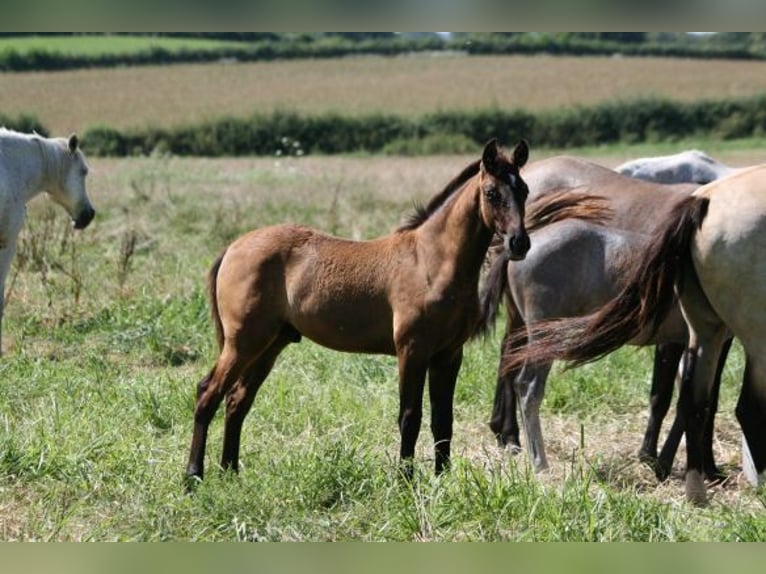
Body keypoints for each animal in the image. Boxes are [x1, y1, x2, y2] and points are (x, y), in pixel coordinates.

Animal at [186, 140, 536, 486]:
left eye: (524, 190)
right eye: (491, 193)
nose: (519, 243)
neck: (430, 261)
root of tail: (232, 248)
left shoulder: (448, 355)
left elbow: (443, 420)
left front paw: (442, 480)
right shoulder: (412, 350)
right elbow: (410, 416)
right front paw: (405, 482)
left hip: (269, 345)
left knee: (237, 400)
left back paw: (230, 472)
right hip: (243, 342)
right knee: (208, 393)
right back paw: (193, 477)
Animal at [504, 165, 766, 504]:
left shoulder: (702, 339)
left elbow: (690, 401)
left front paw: (671, 465)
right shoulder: (689, 341)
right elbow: (680, 400)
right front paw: (667, 464)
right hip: (541, 338)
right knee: (528, 386)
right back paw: (539, 462)